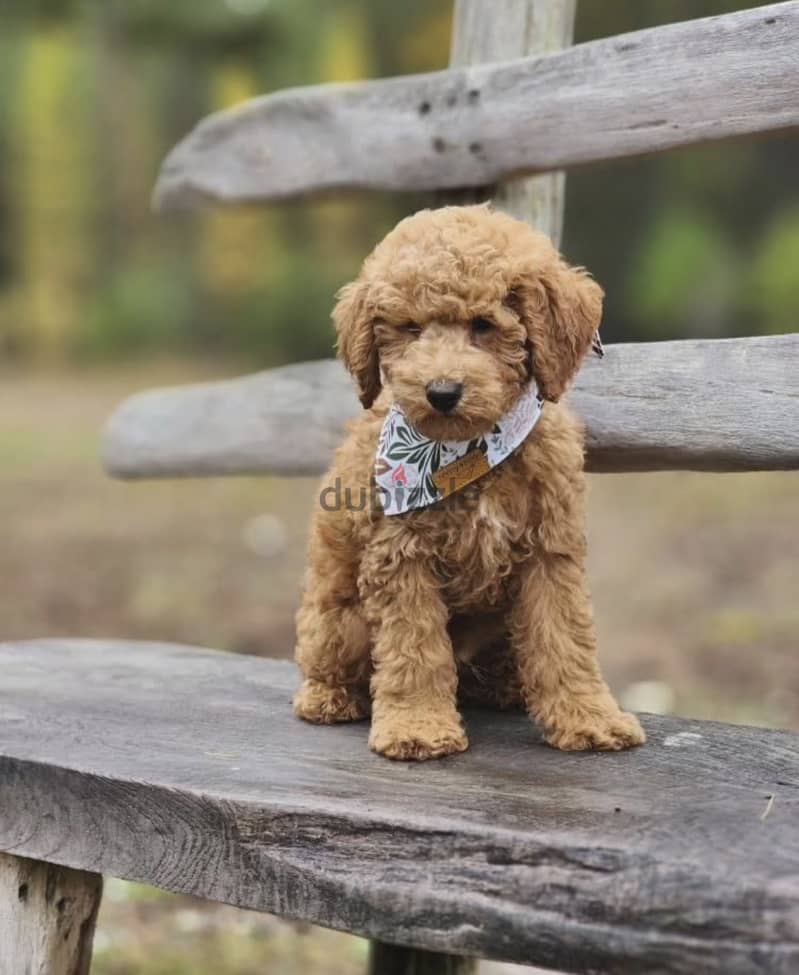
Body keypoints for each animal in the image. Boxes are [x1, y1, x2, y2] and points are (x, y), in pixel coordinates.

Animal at [294, 206, 644, 764]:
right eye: (411, 329)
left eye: (484, 325)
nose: (441, 392)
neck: (472, 449)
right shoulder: (400, 554)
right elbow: (414, 647)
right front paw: (417, 726)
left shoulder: (550, 550)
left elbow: (564, 637)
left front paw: (588, 717)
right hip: (337, 623)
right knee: (332, 661)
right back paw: (330, 697)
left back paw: (506, 686)